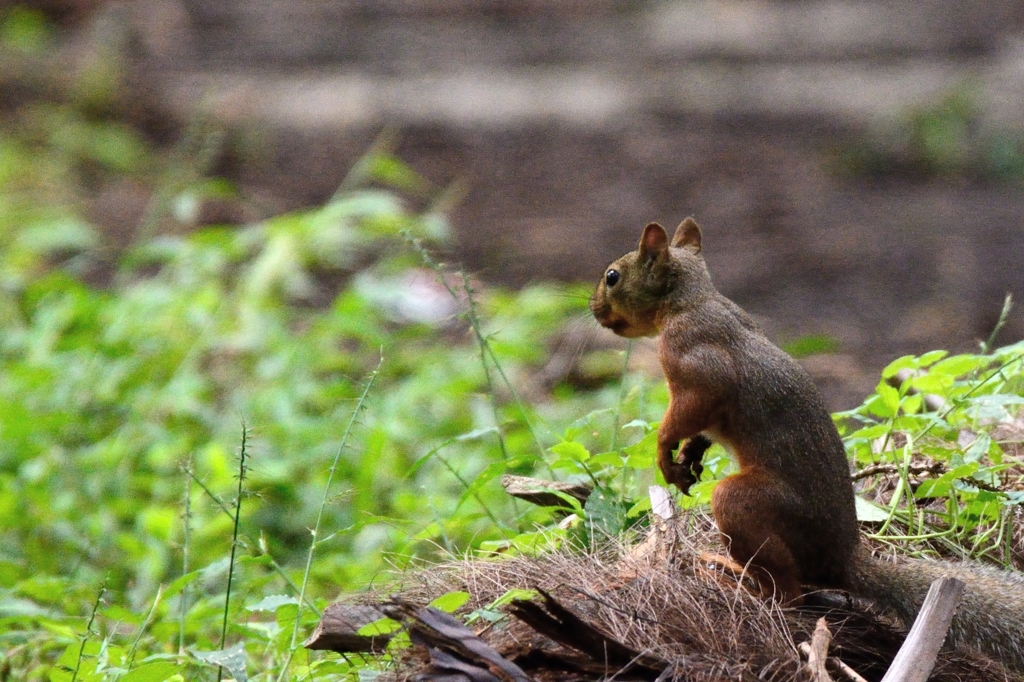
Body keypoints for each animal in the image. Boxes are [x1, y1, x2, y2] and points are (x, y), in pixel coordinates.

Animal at [589, 218, 1024, 667]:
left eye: (613, 276)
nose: (594, 308)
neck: (688, 301)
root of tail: (842, 563)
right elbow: (702, 428)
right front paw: (691, 453)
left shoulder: (697, 364)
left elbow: (688, 410)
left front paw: (664, 450)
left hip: (747, 505)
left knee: (790, 592)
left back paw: (747, 588)